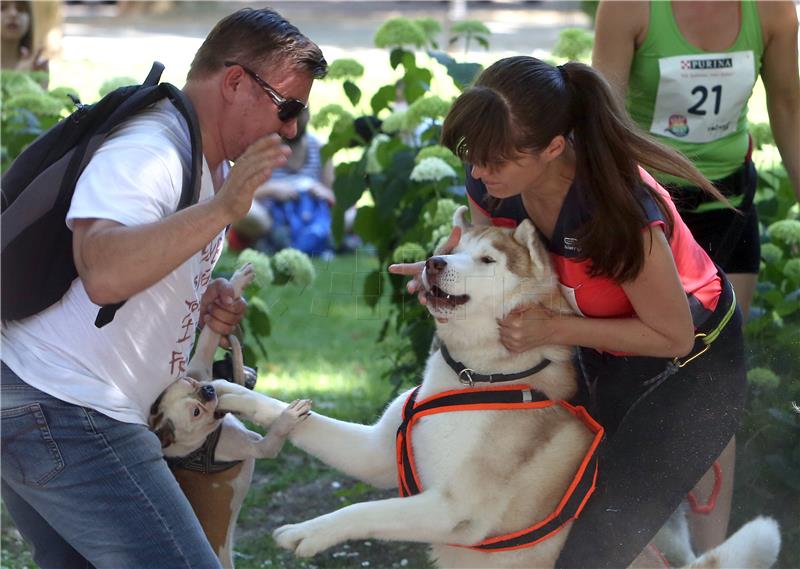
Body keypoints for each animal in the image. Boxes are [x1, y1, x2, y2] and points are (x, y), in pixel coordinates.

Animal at [148, 264, 310, 564]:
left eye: (190, 383)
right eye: (196, 412)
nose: (208, 390)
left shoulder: (200, 364)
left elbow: (209, 336)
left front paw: (236, 282)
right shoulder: (260, 448)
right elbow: (275, 435)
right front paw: (290, 415)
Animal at [222, 211, 780, 564]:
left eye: (487, 261)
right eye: (452, 250)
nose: (433, 263)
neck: (474, 377)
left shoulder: (452, 510)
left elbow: (363, 509)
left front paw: (307, 533)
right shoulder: (377, 453)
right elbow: (299, 418)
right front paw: (232, 394)